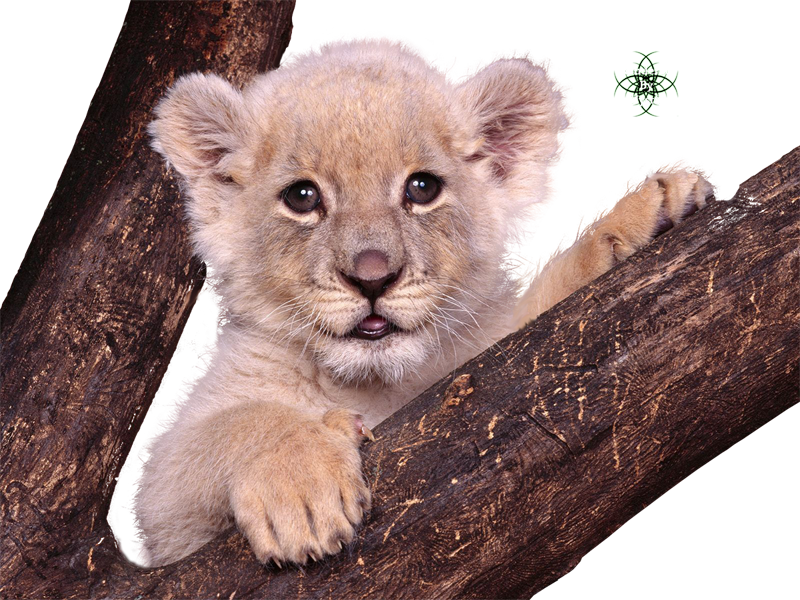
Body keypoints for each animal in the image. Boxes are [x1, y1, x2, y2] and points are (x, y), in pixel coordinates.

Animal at [120, 44, 711, 567]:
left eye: (422, 188)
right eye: (303, 197)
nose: (372, 277)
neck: (376, 384)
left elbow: (546, 300)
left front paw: (635, 224)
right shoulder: (162, 517)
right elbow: (235, 425)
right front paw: (303, 491)